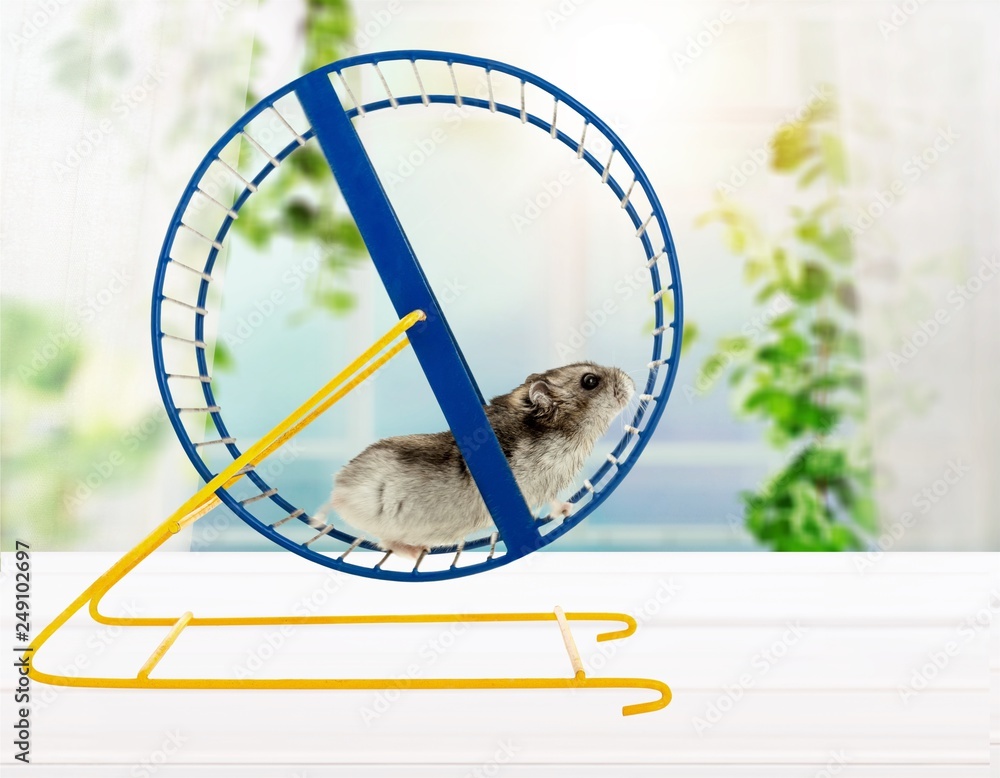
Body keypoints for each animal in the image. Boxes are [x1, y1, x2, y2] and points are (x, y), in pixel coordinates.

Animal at [328, 362, 635, 558]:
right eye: (590, 381)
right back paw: (416, 551)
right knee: (384, 542)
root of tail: (337, 490)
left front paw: (569, 508)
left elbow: (554, 501)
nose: (631, 383)